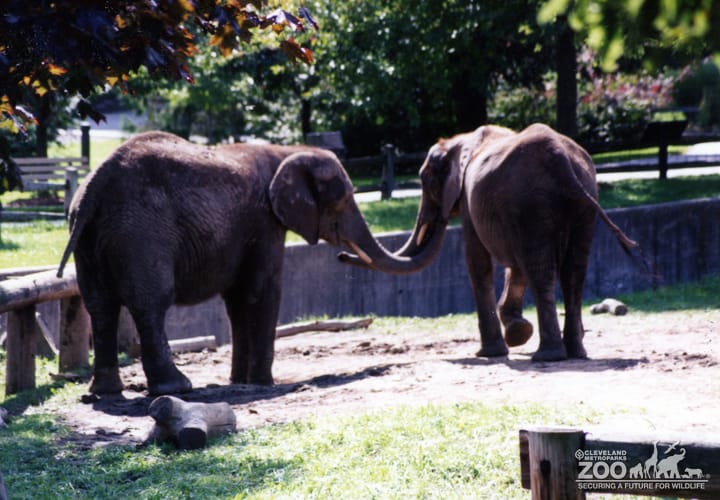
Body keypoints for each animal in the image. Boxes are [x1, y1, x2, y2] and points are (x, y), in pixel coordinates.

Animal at [56, 131, 408, 395]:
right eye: (344, 200)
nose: (343, 255)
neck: (286, 152)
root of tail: (95, 185)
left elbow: (238, 299)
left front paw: (240, 382)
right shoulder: (264, 221)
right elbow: (261, 291)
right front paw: (264, 384)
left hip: (88, 235)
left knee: (100, 305)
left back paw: (105, 392)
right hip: (141, 231)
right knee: (150, 303)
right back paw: (177, 388)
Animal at [340, 123, 638, 361]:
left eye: (426, 181)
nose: (341, 256)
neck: (459, 141)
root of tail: (562, 161)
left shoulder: (470, 202)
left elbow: (477, 260)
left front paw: (491, 352)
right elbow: (515, 266)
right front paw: (518, 333)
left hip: (532, 203)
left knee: (541, 271)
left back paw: (549, 356)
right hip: (583, 201)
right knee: (572, 273)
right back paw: (575, 353)